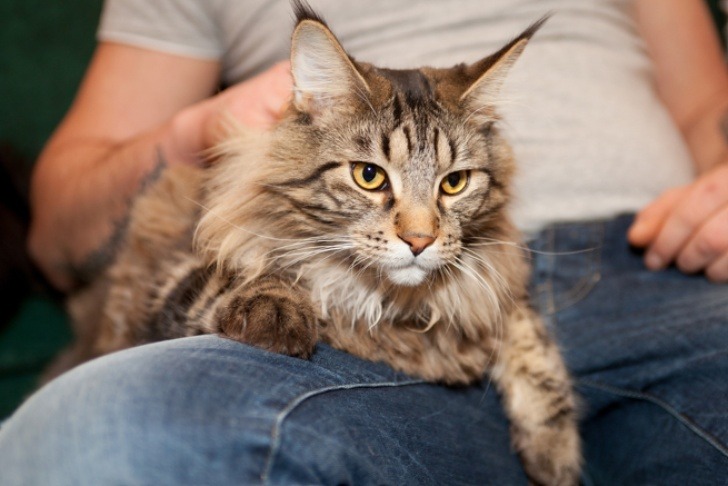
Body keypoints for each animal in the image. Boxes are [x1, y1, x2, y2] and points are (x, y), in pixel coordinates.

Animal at [54, 4, 584, 486]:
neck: (391, 301)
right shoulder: (172, 277)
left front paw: (554, 452)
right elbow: (258, 272)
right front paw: (279, 314)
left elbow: (529, 342)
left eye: (454, 183)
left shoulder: (495, 282)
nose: (420, 240)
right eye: (369, 176)